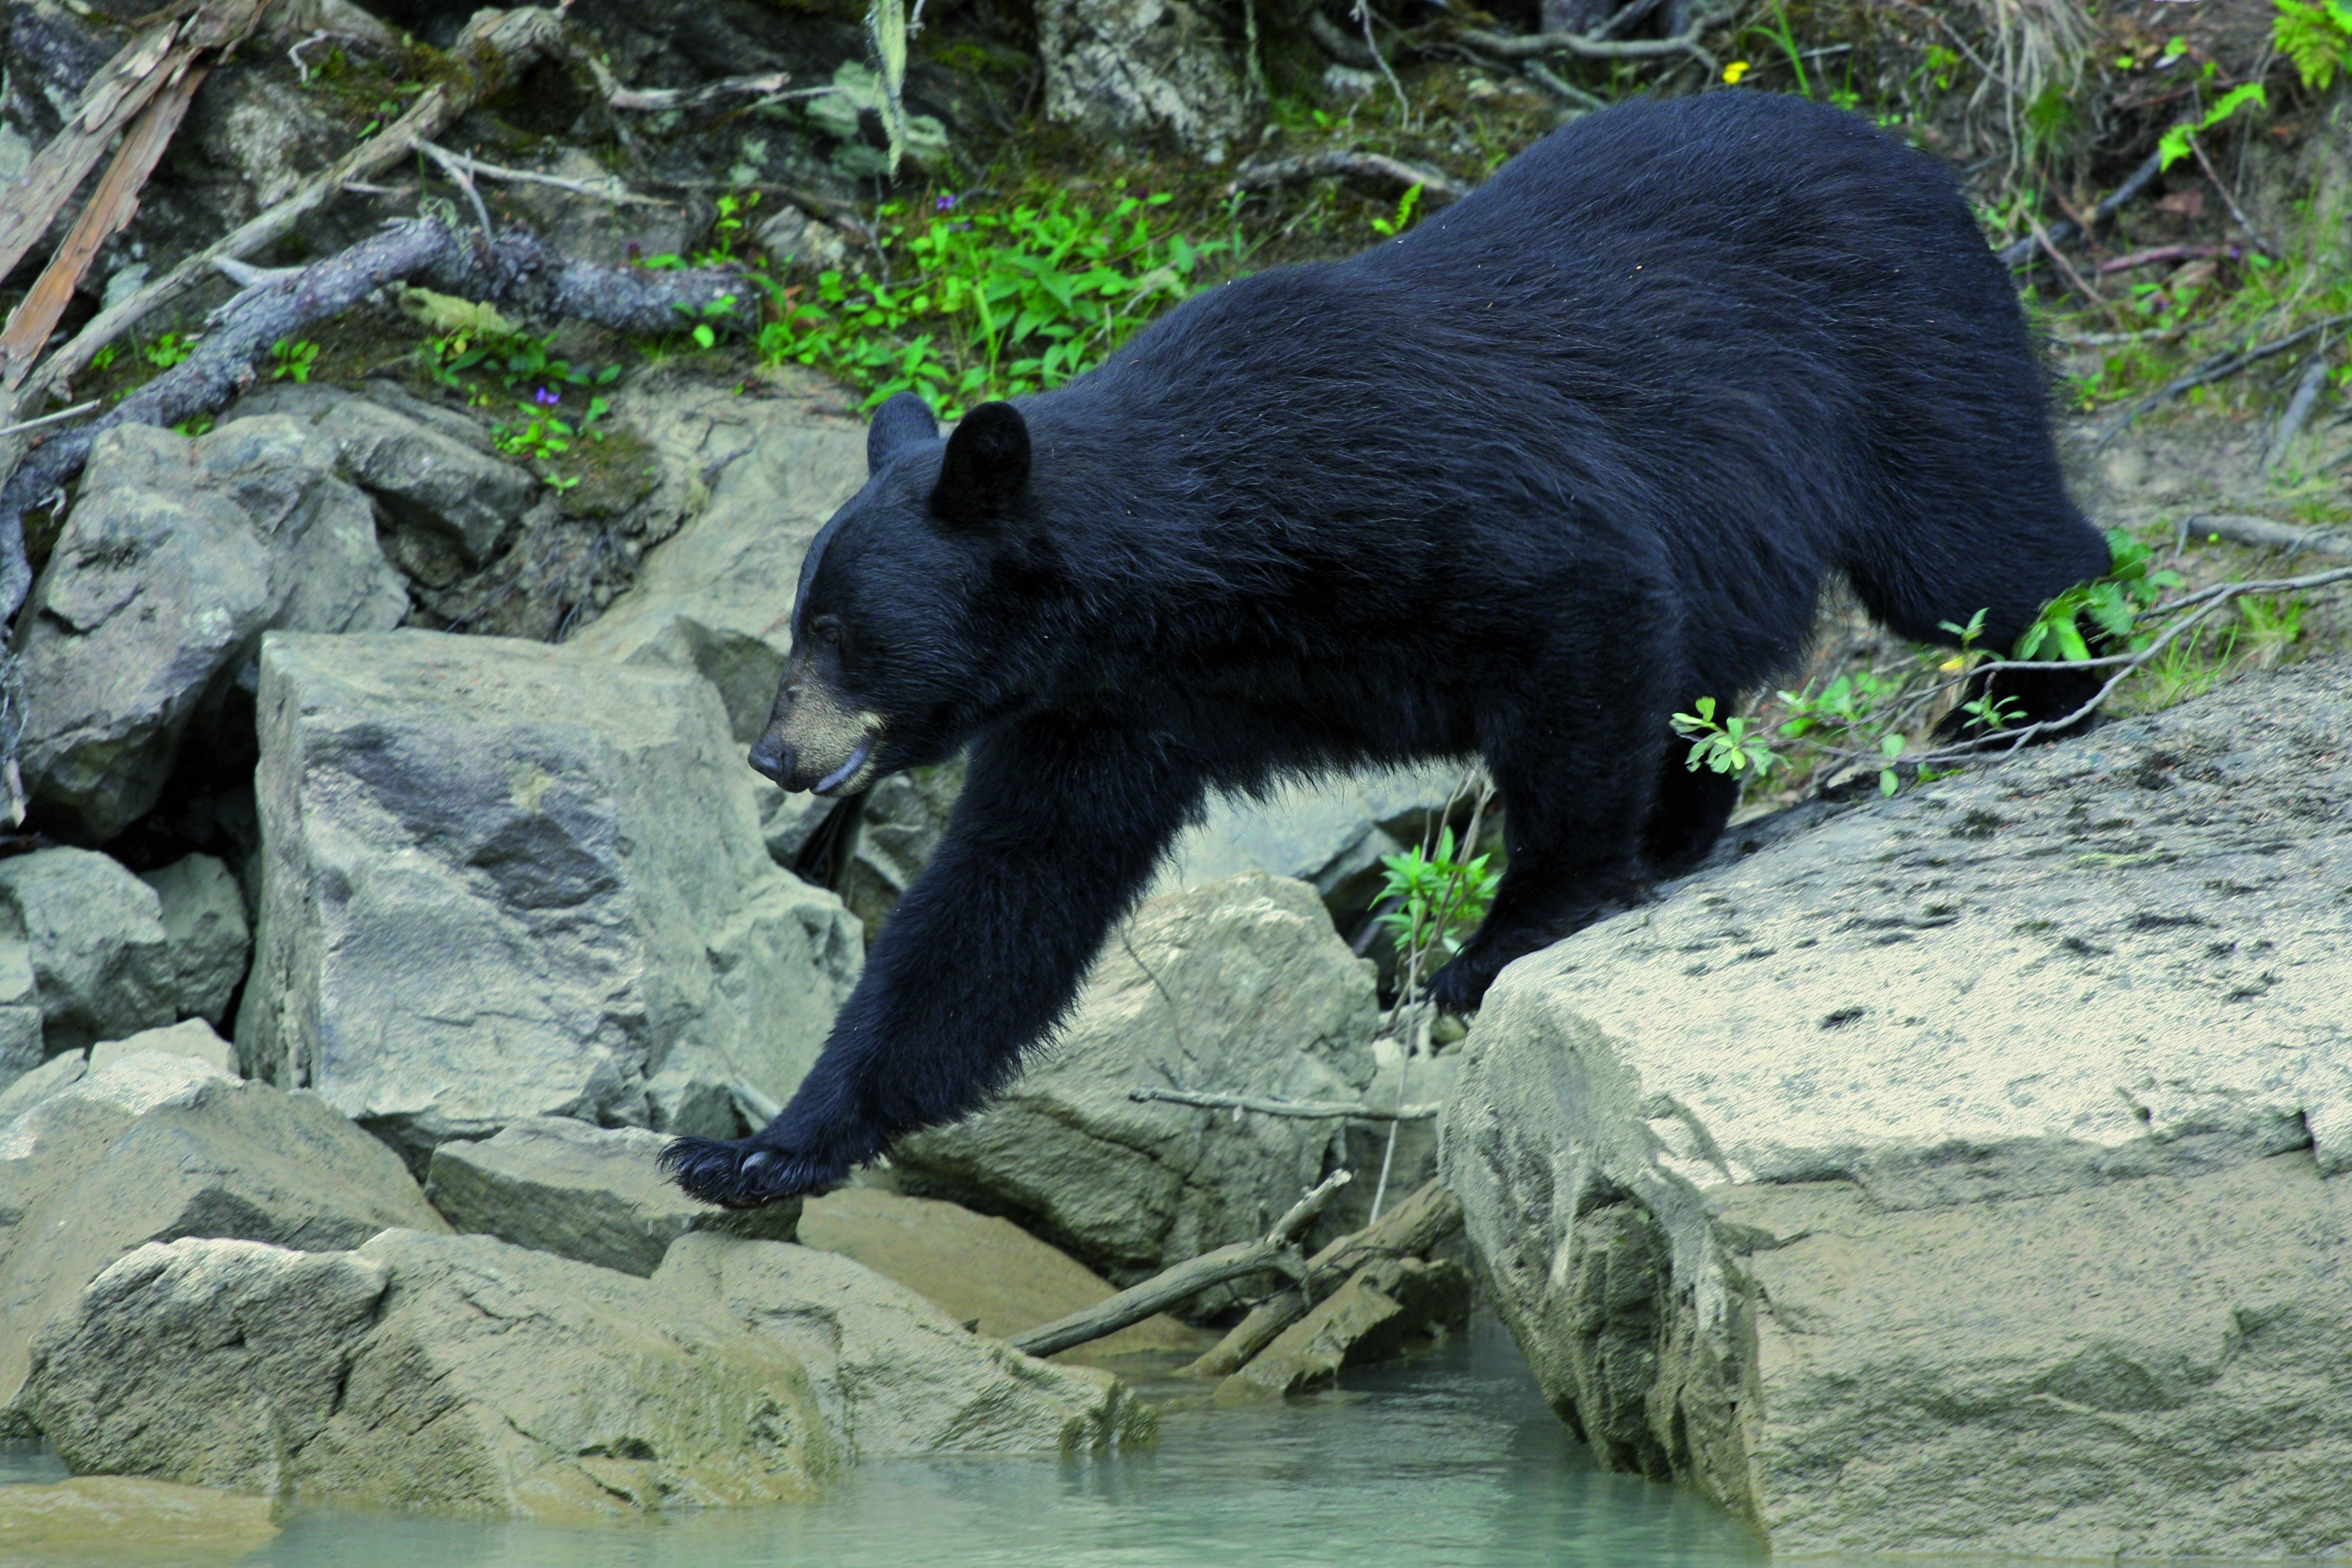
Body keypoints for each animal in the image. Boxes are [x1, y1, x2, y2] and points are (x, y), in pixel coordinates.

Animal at [662, 90, 2111, 1207]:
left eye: (842, 636)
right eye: (800, 625)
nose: (774, 753)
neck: (1179, 575)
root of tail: (1927, 168)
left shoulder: (1402, 494)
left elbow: (1586, 611)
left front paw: (1506, 931)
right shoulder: (1109, 709)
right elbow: (999, 905)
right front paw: (759, 1147)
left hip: (1896, 353)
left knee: (1979, 546)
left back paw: (2022, 697)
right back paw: (1697, 817)